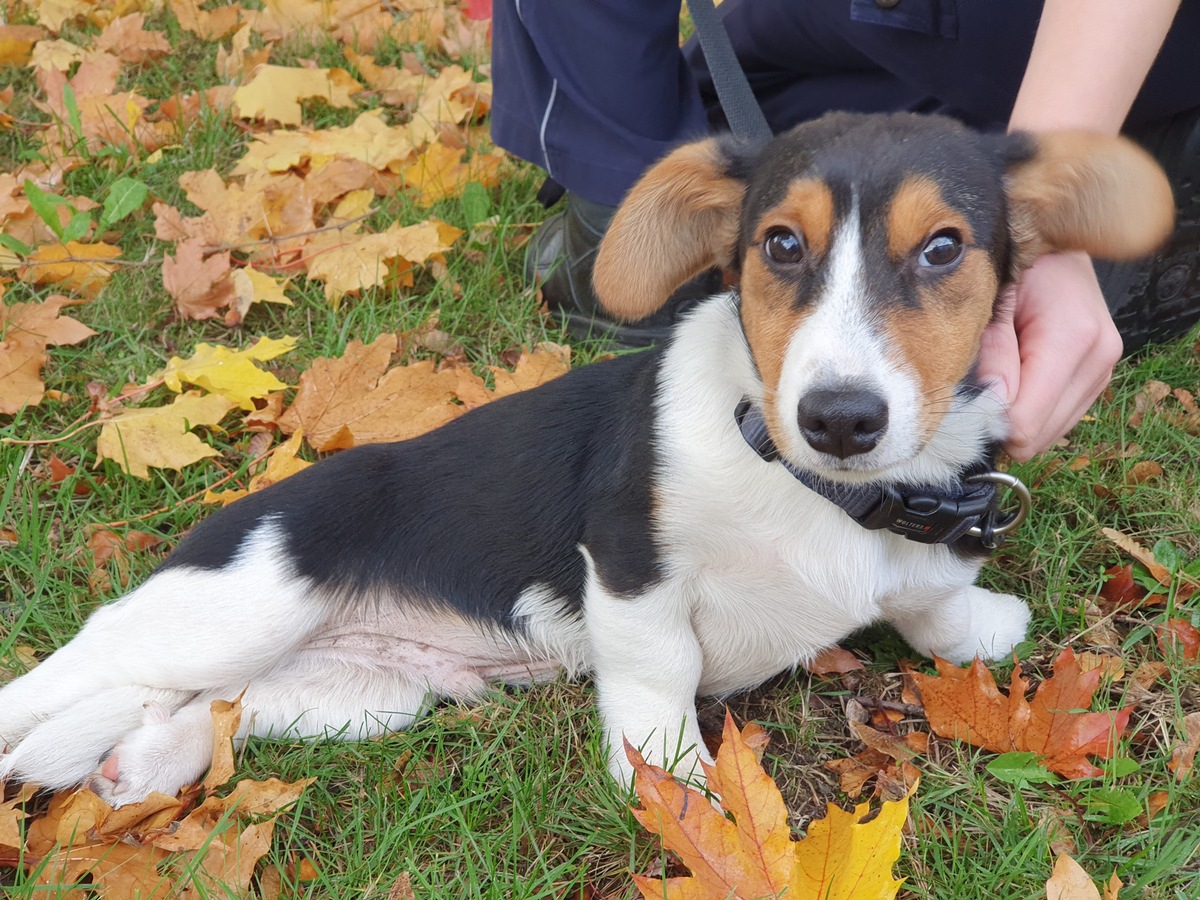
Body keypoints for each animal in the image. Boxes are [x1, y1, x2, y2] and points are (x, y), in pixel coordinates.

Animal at [0, 109, 1171, 806]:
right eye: (779, 245)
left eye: (943, 249)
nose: (841, 419)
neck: (816, 490)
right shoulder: (630, 562)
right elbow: (662, 676)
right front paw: (677, 787)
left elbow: (931, 603)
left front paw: (978, 624)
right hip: (236, 605)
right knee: (71, 678)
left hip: (360, 694)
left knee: (204, 710)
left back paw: (144, 761)